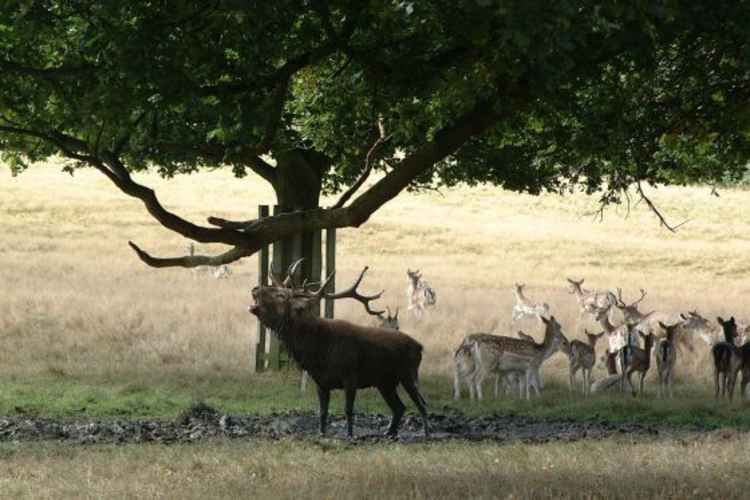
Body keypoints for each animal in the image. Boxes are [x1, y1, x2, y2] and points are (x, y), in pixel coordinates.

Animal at [251, 262, 428, 438]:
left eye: (280, 296)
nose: (255, 289)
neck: (318, 353)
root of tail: (420, 347)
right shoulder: (321, 382)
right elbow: (323, 411)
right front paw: (321, 433)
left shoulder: (350, 377)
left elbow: (348, 410)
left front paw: (349, 435)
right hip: (385, 382)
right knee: (399, 407)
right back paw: (389, 433)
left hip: (408, 375)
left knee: (421, 404)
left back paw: (426, 433)